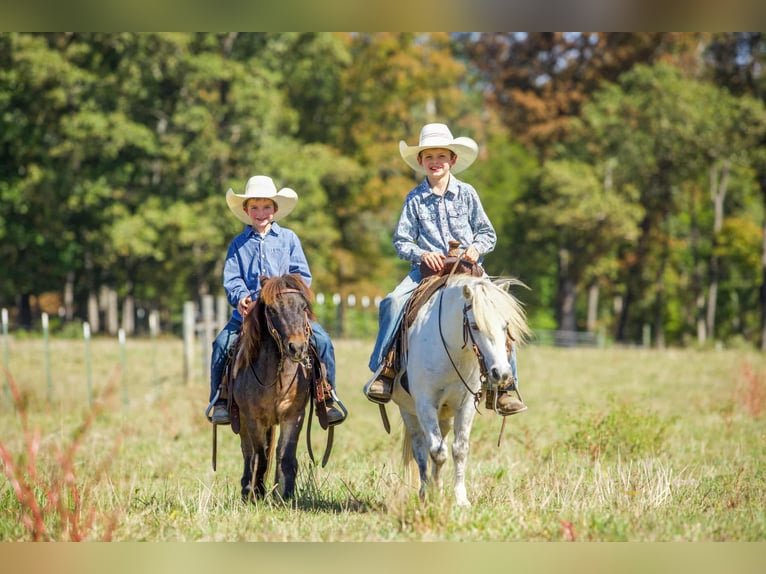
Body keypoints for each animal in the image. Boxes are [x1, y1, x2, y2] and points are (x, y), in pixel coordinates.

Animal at [230, 273, 318, 502]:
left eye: (303, 307)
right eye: (272, 310)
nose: (297, 347)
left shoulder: (294, 415)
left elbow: (284, 455)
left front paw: (284, 495)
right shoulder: (253, 418)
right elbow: (259, 457)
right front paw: (256, 494)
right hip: (243, 420)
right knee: (248, 453)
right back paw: (247, 489)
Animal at [390, 274, 531, 507]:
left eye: (505, 325)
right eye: (474, 325)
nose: (501, 373)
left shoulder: (466, 405)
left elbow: (459, 450)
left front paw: (460, 498)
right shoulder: (425, 405)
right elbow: (437, 452)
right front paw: (433, 495)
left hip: (445, 416)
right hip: (409, 412)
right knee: (421, 449)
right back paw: (425, 490)